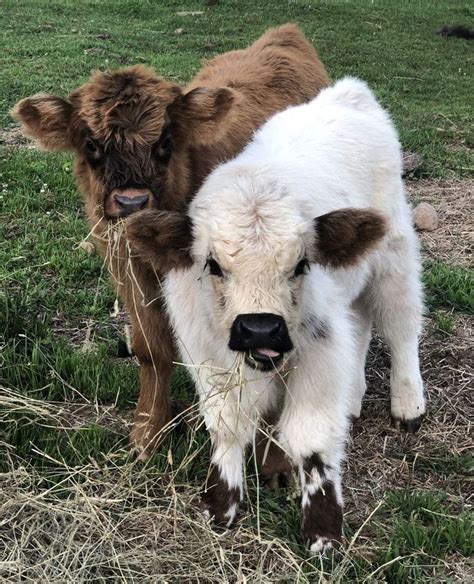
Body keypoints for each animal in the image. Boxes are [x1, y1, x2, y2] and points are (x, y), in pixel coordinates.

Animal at [12, 24, 330, 460]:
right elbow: (151, 347)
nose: (131, 201)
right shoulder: (127, 267)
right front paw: (147, 431)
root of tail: (284, 35)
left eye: (164, 143)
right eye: (91, 145)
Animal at [128, 77, 424, 552]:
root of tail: (349, 93)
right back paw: (353, 398)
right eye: (213, 265)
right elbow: (227, 424)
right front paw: (222, 503)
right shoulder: (208, 357)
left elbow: (311, 438)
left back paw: (409, 404)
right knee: (360, 325)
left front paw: (323, 530)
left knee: (401, 325)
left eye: (301, 264)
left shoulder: (319, 351)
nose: (260, 329)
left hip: (394, 258)